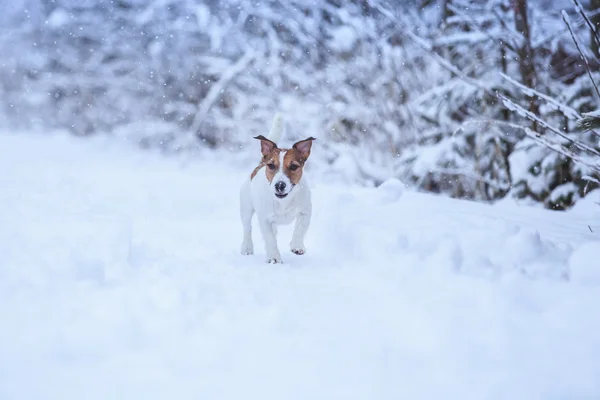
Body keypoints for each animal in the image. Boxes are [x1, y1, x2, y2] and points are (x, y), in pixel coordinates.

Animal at [239, 113, 316, 262]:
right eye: (271, 165)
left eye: (293, 166)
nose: (280, 185)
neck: (283, 202)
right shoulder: (264, 219)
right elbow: (270, 239)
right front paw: (274, 257)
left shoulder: (305, 212)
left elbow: (300, 229)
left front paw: (297, 246)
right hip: (246, 207)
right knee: (247, 228)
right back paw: (247, 248)